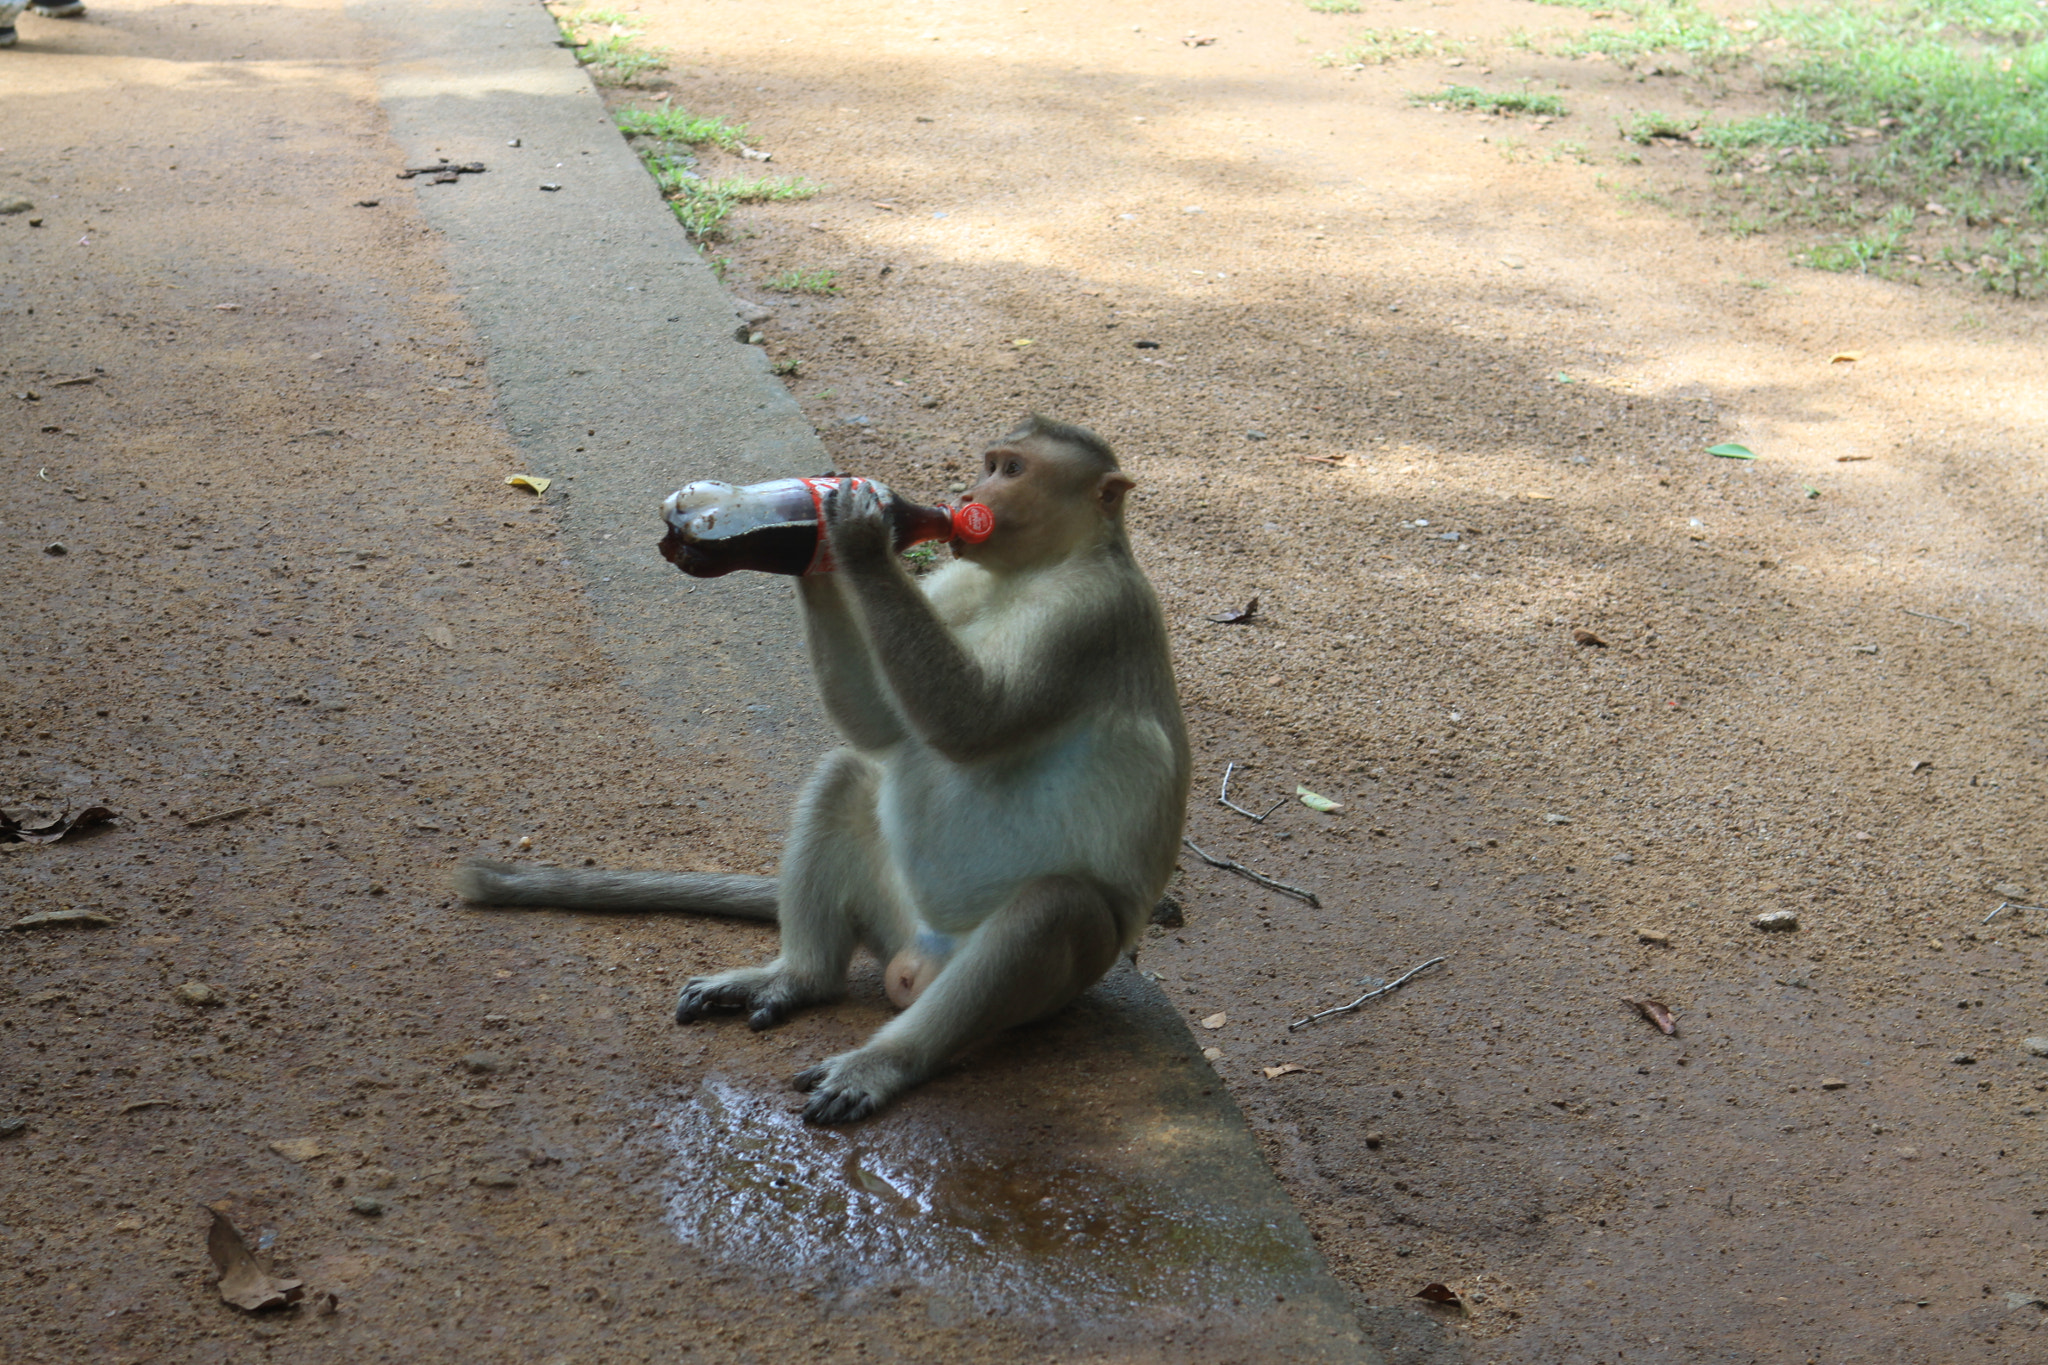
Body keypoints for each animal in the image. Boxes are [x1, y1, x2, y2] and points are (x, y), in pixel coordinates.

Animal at [448, 413, 1187, 1121]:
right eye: (991, 463)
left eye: (1012, 469)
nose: (969, 498)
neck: (1034, 570)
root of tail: (919, 957)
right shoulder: (960, 577)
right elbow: (881, 726)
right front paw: (818, 538)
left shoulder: (1089, 616)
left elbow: (973, 721)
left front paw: (857, 527)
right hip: (891, 916)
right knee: (846, 775)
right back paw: (799, 977)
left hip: (1057, 980)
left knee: (1053, 909)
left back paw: (887, 1061)